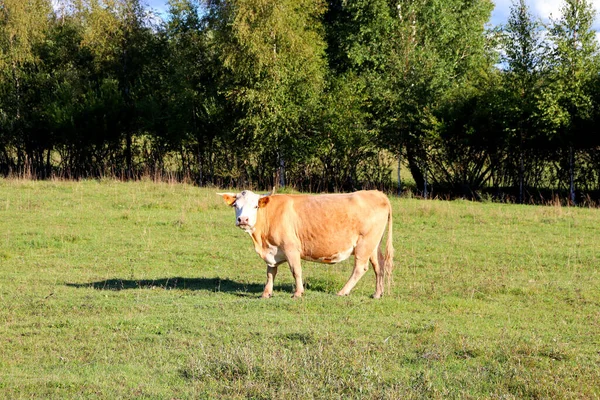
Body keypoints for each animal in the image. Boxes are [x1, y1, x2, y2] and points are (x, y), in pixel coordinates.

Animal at [217, 190, 394, 296]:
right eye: (236, 205)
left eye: (255, 206)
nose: (243, 220)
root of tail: (377, 193)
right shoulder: (272, 251)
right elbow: (270, 272)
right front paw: (266, 293)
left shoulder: (291, 248)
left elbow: (296, 270)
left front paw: (298, 293)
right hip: (374, 245)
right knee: (379, 265)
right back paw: (377, 294)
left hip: (365, 244)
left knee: (360, 268)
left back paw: (342, 291)